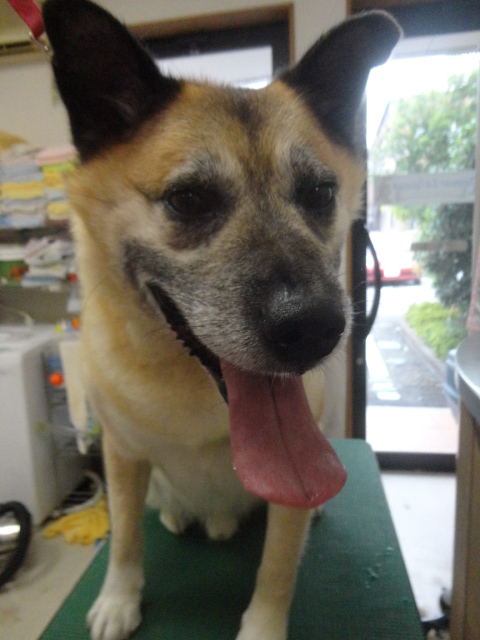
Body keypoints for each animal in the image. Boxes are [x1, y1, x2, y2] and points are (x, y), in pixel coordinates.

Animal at [42, 2, 400, 638]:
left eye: (319, 193)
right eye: (188, 200)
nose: (314, 329)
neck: (194, 391)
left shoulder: (292, 492)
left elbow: (276, 571)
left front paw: (261, 628)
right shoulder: (122, 455)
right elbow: (124, 538)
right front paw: (119, 598)